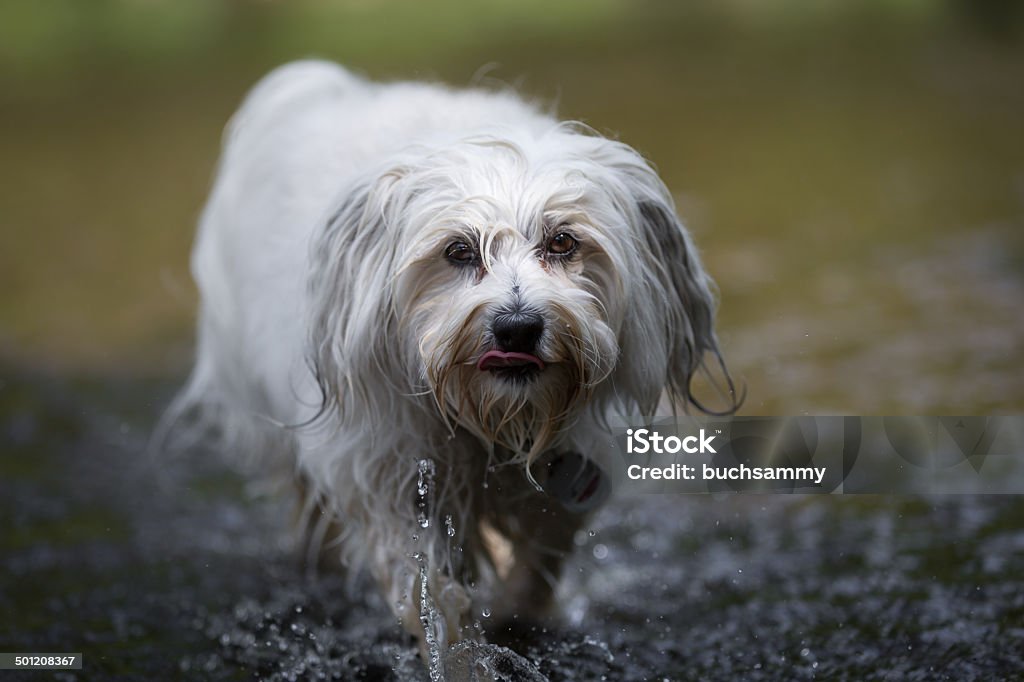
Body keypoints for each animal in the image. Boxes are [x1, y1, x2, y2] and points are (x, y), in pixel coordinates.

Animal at [161, 59, 729, 659]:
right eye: (458, 250)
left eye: (563, 241)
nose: (517, 326)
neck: (488, 421)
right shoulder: (392, 473)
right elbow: (433, 596)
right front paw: (464, 656)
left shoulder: (568, 474)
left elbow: (539, 559)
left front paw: (518, 615)